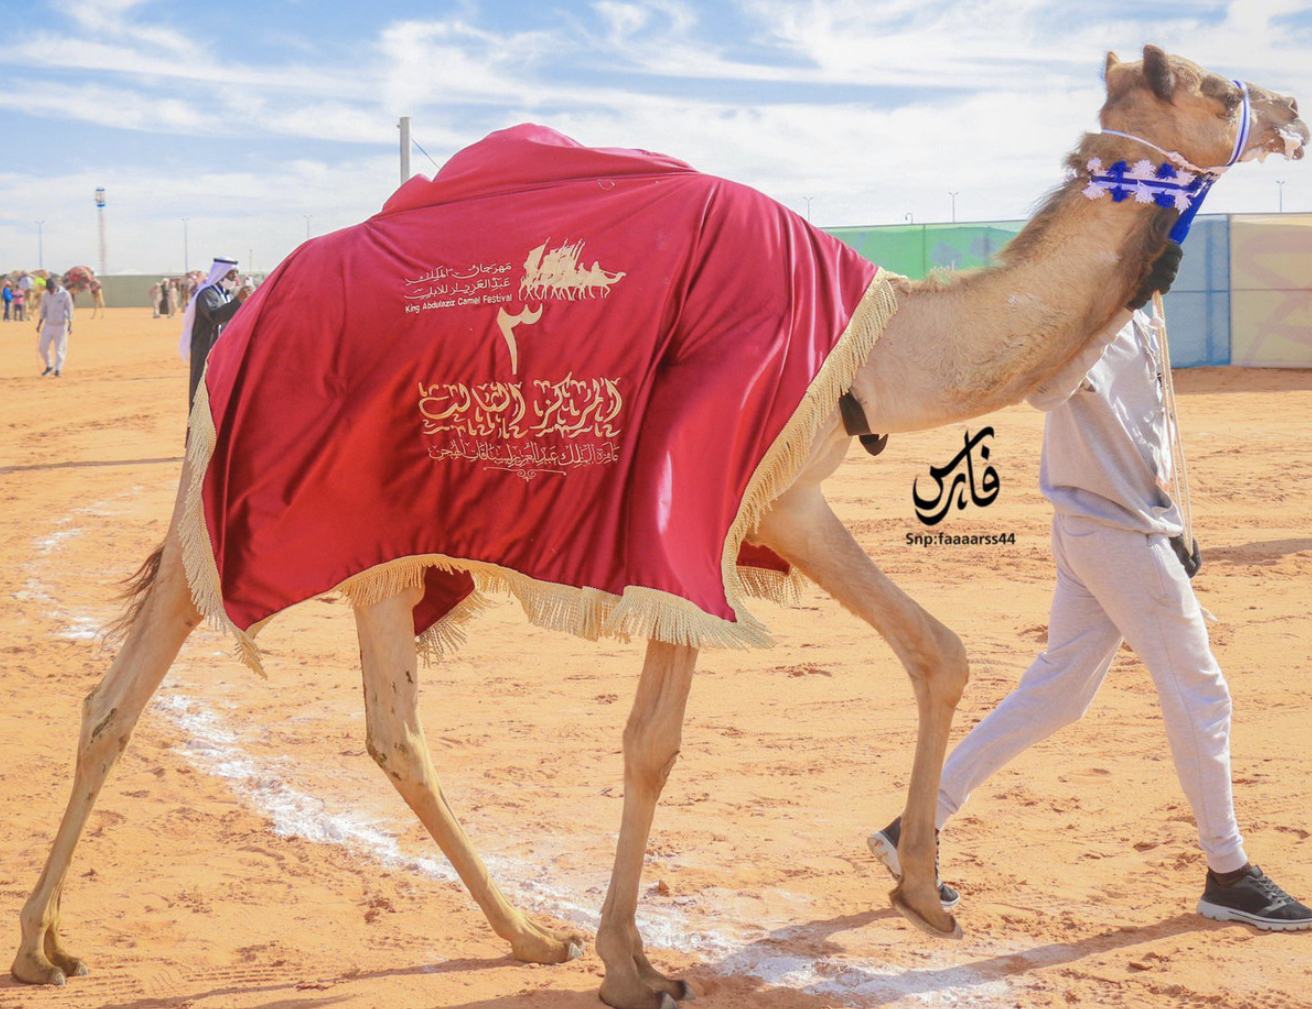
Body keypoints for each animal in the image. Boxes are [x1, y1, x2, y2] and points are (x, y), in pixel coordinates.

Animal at [12, 47, 1305, 1009]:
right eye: (1215, 86)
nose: (1292, 111)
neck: (882, 342)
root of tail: (237, 312)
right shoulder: (693, 506)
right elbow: (652, 740)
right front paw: (634, 963)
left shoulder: (779, 500)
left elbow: (930, 649)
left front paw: (922, 894)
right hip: (257, 506)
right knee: (163, 689)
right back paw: (46, 939)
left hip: (371, 541)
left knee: (350, 723)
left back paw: (511, 934)